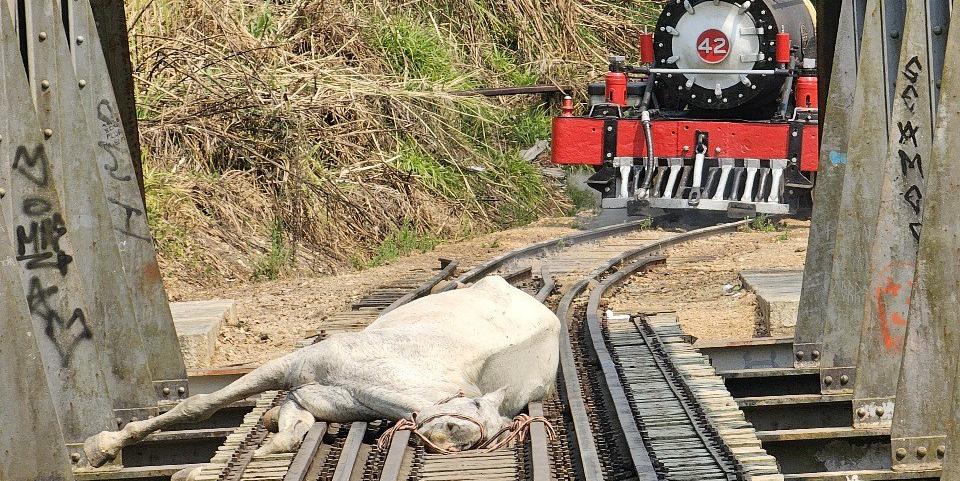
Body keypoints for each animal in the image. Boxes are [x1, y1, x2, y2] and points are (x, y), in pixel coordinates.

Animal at [87, 276, 564, 466]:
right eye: (474, 406)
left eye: (489, 437)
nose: (450, 439)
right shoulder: (288, 367)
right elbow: (200, 406)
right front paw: (101, 446)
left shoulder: (306, 399)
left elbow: (293, 434)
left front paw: (265, 445)